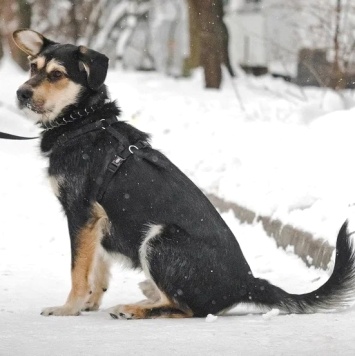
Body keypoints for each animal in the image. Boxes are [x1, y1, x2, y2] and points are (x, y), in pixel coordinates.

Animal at [12, 28, 355, 320]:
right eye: (32, 68)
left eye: (56, 74)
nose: (20, 93)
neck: (83, 121)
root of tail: (246, 283)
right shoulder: (94, 220)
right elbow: (96, 264)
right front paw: (89, 302)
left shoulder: (80, 212)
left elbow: (78, 270)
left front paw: (68, 308)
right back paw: (143, 295)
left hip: (160, 238)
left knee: (185, 308)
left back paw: (134, 308)